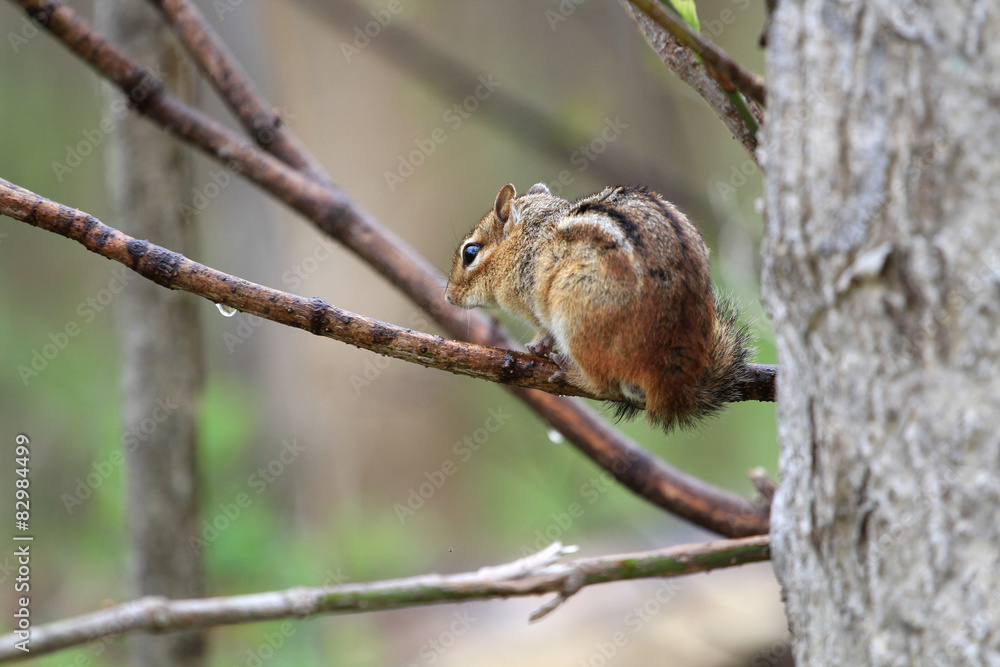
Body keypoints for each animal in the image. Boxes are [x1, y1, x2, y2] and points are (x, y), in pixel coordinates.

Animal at [445, 183, 752, 432]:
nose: (448, 297)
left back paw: (570, 373)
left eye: (470, 252)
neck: (529, 239)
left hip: (575, 319)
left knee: (606, 386)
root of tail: (671, 378)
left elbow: (544, 330)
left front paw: (538, 345)